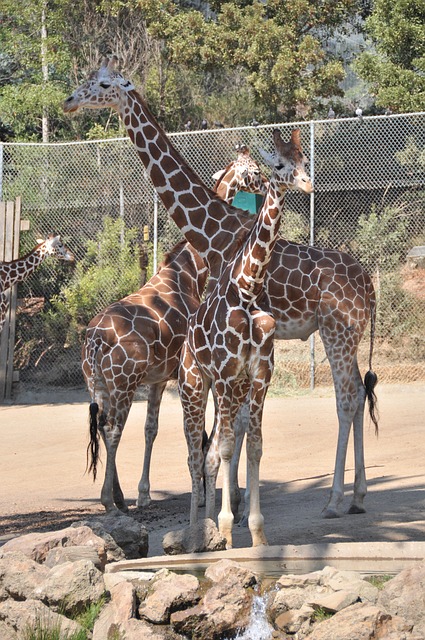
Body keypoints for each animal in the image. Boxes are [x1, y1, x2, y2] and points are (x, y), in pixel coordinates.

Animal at [83, 240, 207, 512]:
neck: (188, 276)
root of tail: (96, 339)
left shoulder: (158, 379)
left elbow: (151, 429)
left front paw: (144, 494)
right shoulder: (189, 372)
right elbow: (197, 427)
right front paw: (202, 492)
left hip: (97, 383)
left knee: (102, 426)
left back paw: (120, 498)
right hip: (124, 383)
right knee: (112, 429)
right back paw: (109, 501)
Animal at [179, 128, 313, 547]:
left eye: (305, 160)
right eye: (277, 164)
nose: (307, 183)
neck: (247, 287)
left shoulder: (257, 376)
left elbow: (253, 447)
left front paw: (257, 534)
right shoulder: (223, 376)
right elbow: (223, 449)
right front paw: (225, 530)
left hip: (227, 390)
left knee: (207, 453)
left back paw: (206, 528)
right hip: (193, 384)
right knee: (195, 454)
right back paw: (194, 534)